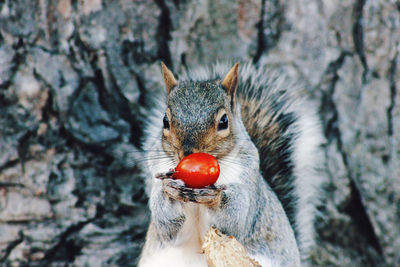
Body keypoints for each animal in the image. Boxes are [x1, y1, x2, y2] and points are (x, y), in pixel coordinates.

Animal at [139, 61, 324, 266]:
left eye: (224, 121)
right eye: (165, 120)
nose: (186, 153)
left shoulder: (249, 185)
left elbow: (234, 222)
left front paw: (215, 197)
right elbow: (167, 226)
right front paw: (170, 189)